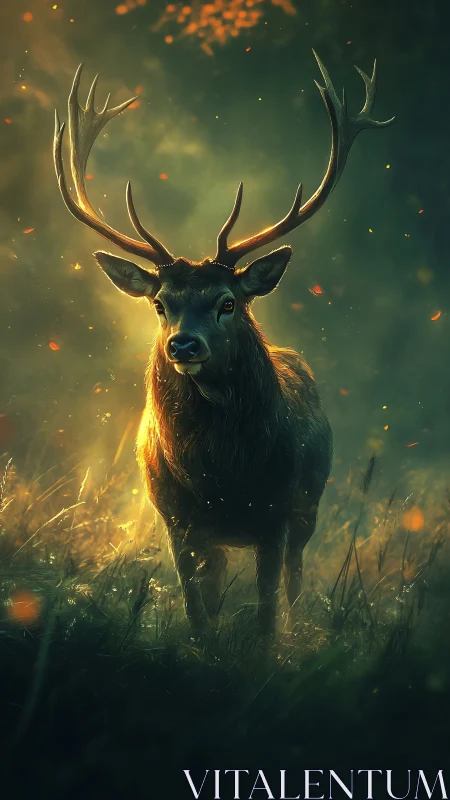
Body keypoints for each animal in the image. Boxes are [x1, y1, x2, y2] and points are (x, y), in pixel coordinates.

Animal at [54, 54, 393, 638]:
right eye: (160, 303)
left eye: (228, 301)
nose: (183, 346)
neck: (223, 477)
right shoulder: (178, 519)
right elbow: (199, 614)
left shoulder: (277, 513)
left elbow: (265, 616)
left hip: (309, 509)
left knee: (295, 582)